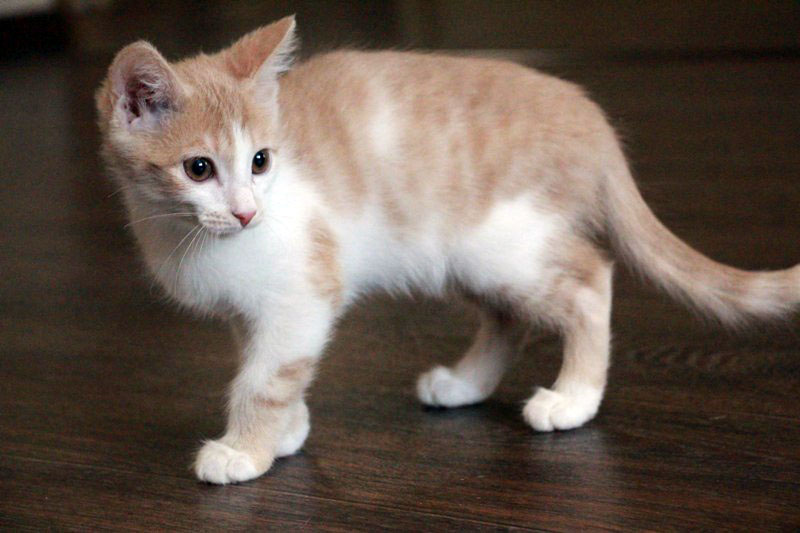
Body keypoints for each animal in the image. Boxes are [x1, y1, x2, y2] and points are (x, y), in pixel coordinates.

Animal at [96, 16, 800, 485]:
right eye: (199, 169)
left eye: (261, 161)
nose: (246, 211)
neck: (184, 236)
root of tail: (590, 116)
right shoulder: (256, 312)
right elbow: (271, 366)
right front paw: (288, 429)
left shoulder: (304, 292)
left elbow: (264, 378)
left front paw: (245, 449)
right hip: (466, 258)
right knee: (509, 316)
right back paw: (465, 384)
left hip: (506, 243)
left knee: (590, 280)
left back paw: (574, 397)